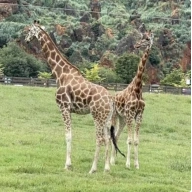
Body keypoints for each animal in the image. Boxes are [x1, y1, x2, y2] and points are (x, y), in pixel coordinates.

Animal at [24, 21, 123, 174]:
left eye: (29, 30)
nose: (26, 40)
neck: (60, 74)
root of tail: (111, 100)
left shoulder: (63, 107)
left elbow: (68, 135)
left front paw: (67, 165)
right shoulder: (69, 110)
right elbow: (72, 134)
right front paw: (69, 164)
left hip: (97, 117)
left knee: (99, 138)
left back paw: (93, 169)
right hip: (107, 119)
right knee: (107, 138)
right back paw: (106, 168)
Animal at [110, 33, 154, 169]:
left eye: (147, 39)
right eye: (142, 37)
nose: (137, 45)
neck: (137, 89)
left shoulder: (139, 115)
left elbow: (136, 140)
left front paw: (136, 164)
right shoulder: (130, 114)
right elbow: (129, 140)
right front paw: (128, 164)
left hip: (122, 119)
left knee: (116, 136)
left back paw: (113, 160)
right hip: (115, 115)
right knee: (112, 136)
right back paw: (110, 160)